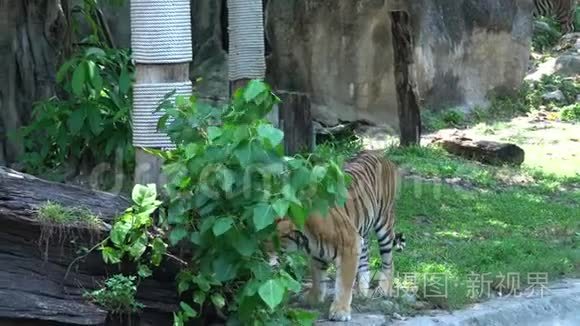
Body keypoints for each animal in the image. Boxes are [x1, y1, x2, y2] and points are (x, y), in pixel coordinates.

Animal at [276, 150, 398, 320]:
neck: (306, 239)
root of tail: (380, 154)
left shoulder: (350, 245)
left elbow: (344, 283)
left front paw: (340, 311)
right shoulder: (317, 254)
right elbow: (318, 277)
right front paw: (314, 298)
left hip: (384, 222)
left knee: (388, 260)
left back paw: (384, 289)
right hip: (363, 229)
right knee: (365, 260)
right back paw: (363, 292)